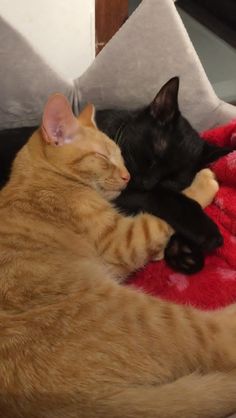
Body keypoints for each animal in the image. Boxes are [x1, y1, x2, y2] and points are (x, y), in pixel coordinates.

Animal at [95, 78, 232, 274]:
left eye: (170, 179)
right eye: (152, 159)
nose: (146, 183)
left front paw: (182, 250)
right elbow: (163, 197)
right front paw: (204, 230)